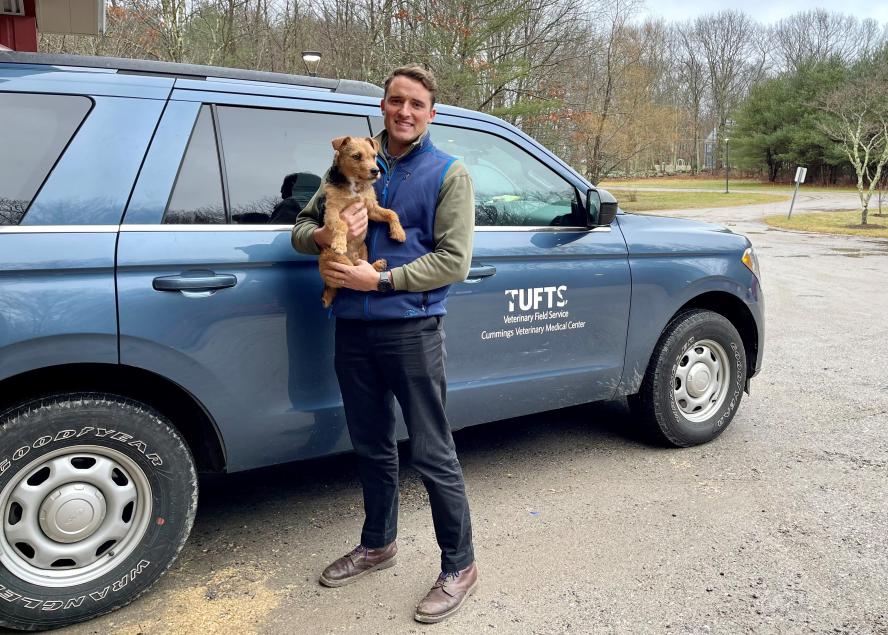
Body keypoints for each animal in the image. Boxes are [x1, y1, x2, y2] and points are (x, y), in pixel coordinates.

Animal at [320, 137, 406, 308]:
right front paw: (339, 243)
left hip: (363, 249)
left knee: (361, 267)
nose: (376, 171)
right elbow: (342, 224)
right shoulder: (332, 211)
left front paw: (398, 232)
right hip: (333, 258)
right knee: (352, 273)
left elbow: (391, 213)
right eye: (356, 156)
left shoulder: (371, 208)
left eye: (374, 156)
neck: (355, 185)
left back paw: (378, 265)